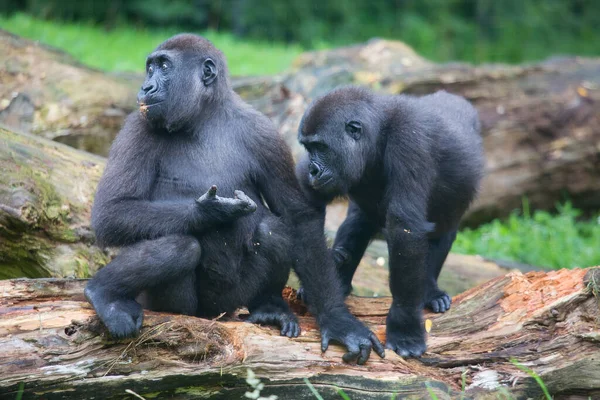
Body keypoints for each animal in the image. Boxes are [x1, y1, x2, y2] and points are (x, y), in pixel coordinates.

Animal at [84, 34, 384, 366]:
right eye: (150, 68)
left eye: (163, 67)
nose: (146, 87)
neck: (205, 117)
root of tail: (210, 315)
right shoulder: (138, 122)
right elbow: (112, 212)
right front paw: (208, 212)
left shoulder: (265, 133)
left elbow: (298, 217)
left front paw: (336, 319)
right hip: (183, 307)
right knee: (180, 246)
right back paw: (105, 293)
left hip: (230, 303)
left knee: (273, 230)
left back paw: (268, 306)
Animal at [298, 86, 486, 356]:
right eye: (308, 148)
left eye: (320, 147)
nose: (312, 170)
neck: (378, 134)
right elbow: (305, 220)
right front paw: (336, 319)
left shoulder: (409, 142)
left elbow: (405, 230)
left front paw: (404, 327)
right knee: (358, 222)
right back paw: (341, 278)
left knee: (443, 232)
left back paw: (430, 290)